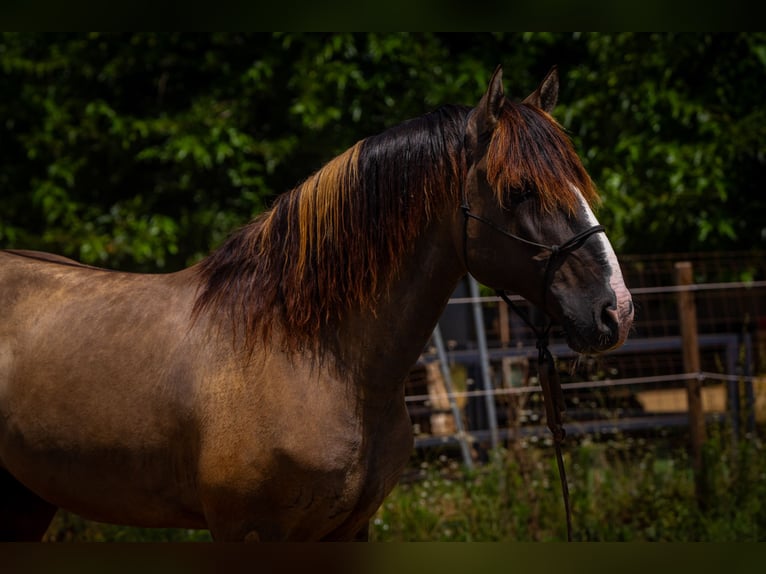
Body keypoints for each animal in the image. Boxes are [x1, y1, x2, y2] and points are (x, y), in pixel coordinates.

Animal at [0, 65, 633, 541]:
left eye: (579, 181)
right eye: (519, 190)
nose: (616, 310)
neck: (313, 355)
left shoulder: (348, 530)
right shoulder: (250, 535)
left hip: (26, 501)